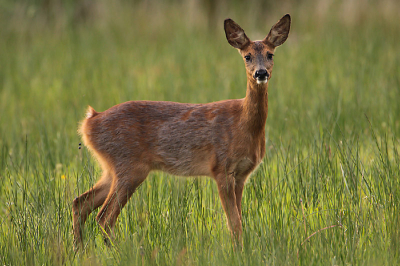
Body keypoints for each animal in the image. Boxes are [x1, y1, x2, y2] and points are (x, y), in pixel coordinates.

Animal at [72, 14, 290, 247]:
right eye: (247, 56)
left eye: (270, 54)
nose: (261, 73)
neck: (244, 124)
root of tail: (89, 122)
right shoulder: (221, 168)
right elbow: (234, 223)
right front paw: (238, 250)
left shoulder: (241, 174)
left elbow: (238, 221)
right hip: (128, 166)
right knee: (104, 217)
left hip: (110, 169)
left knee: (80, 203)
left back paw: (79, 249)